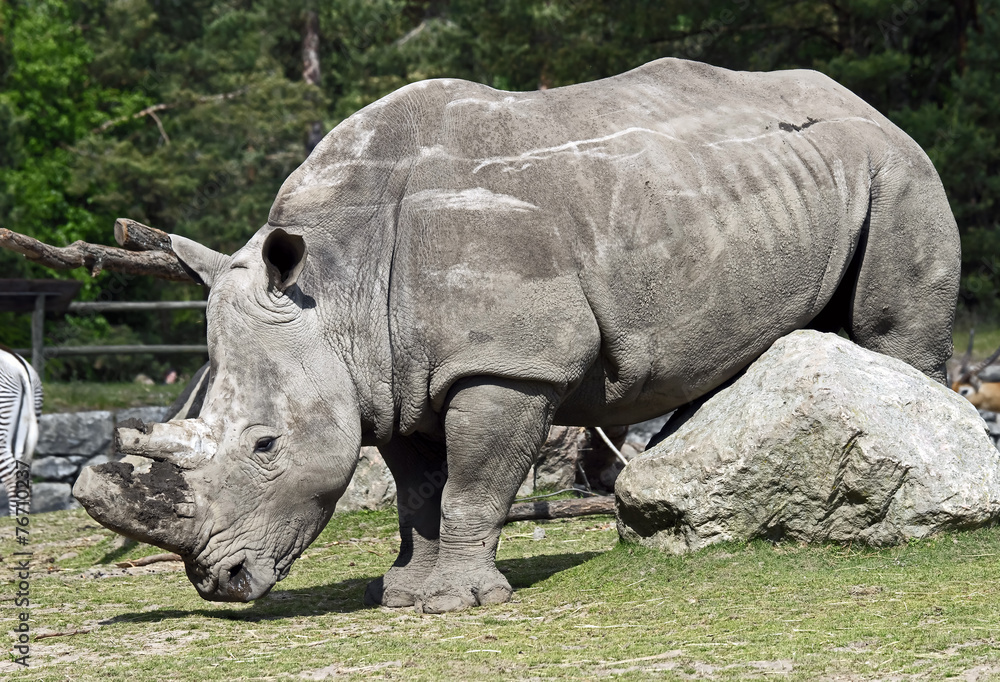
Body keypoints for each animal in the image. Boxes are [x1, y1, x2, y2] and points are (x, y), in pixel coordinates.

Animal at [72, 58, 959, 613]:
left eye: (264, 446)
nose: (219, 583)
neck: (335, 282)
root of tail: (869, 105)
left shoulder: (505, 364)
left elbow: (471, 485)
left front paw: (457, 603)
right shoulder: (388, 380)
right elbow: (417, 492)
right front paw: (402, 594)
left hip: (899, 168)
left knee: (891, 333)